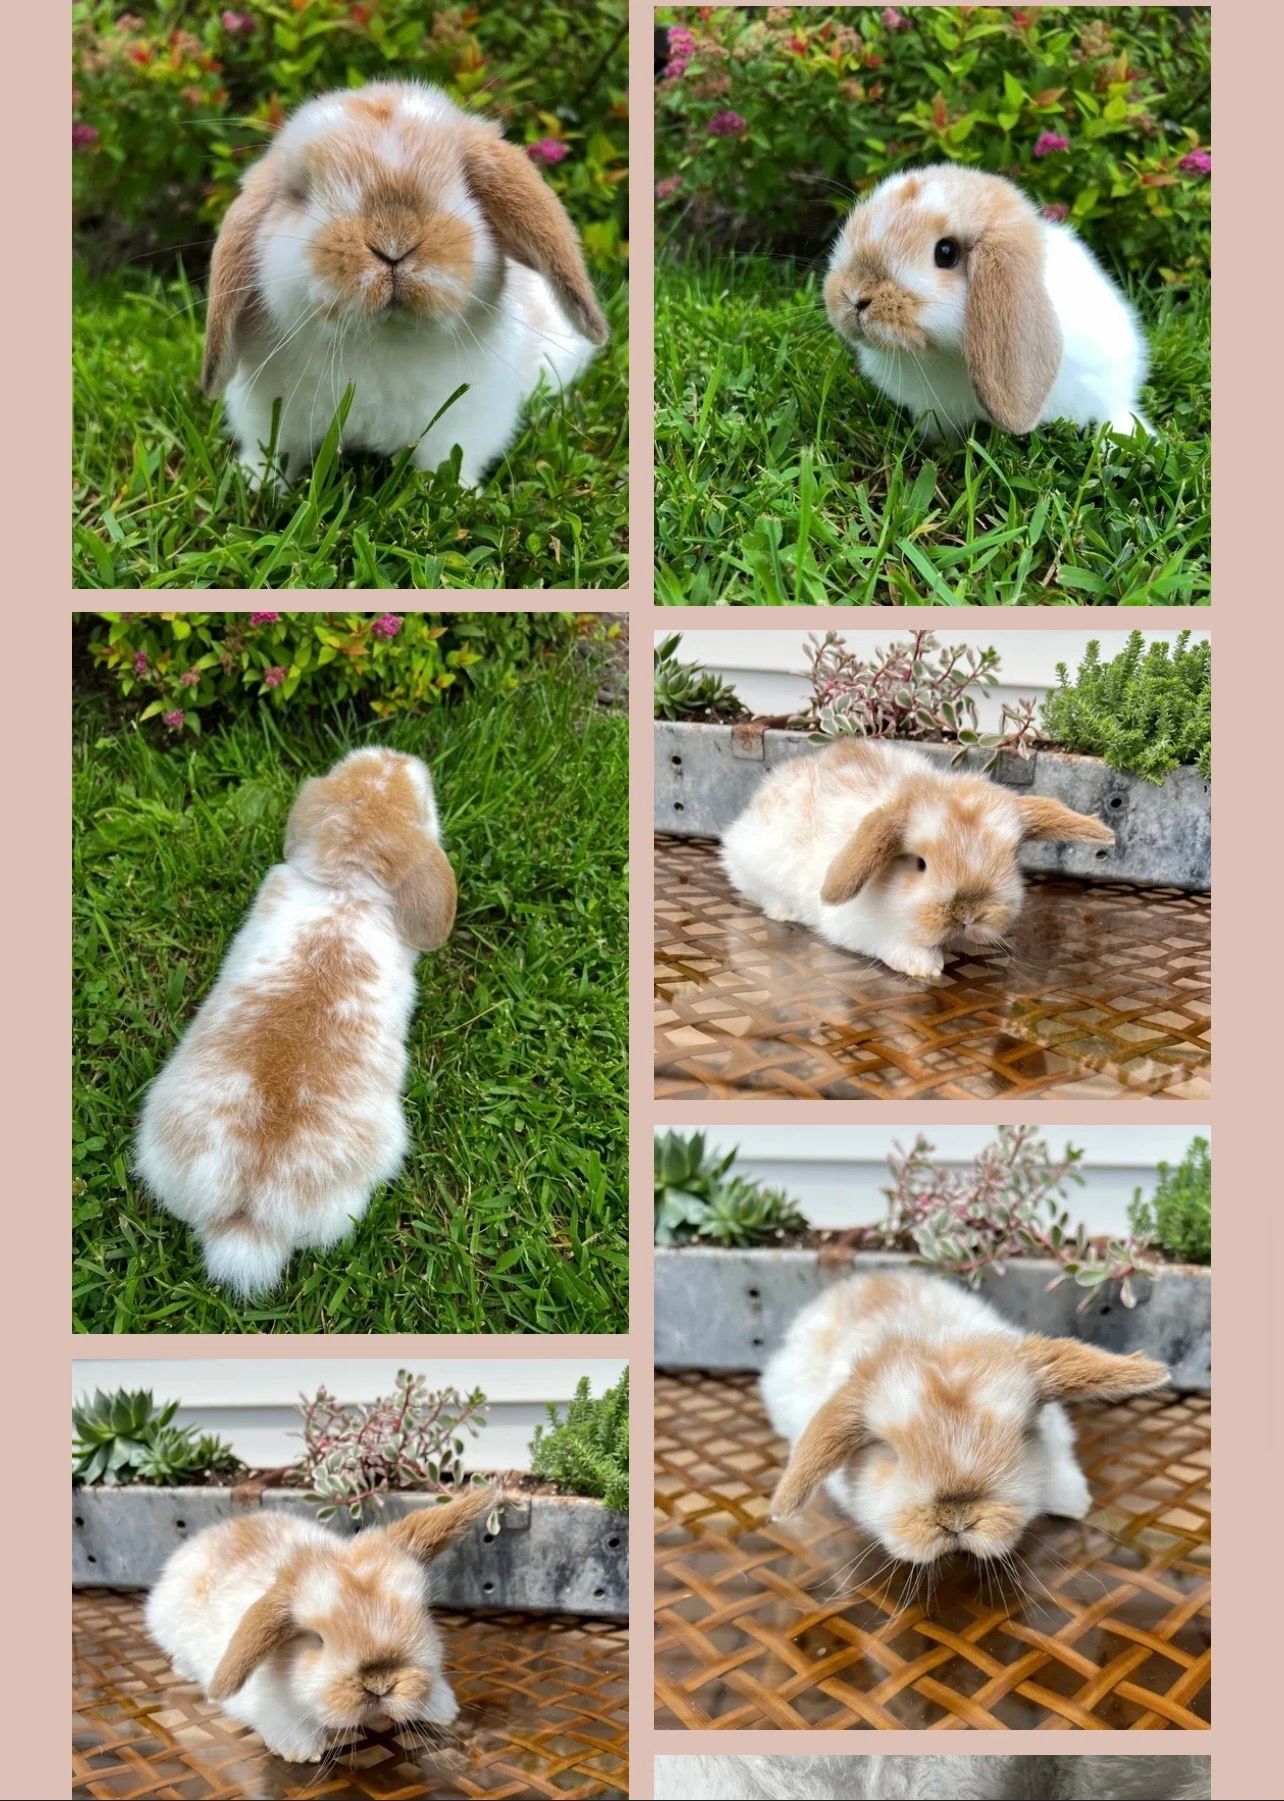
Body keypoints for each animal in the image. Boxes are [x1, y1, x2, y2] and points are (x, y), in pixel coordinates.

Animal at [202, 80, 609, 487]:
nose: (393, 243)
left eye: (464, 182)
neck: (384, 341)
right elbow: (273, 453)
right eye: (300, 193)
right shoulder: (269, 413)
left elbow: (449, 463)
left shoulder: (465, 423)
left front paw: (457, 491)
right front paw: (254, 482)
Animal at [719, 738, 1114, 982]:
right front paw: (924, 965)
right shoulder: (853, 925)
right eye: (919, 864)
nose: (967, 913)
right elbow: (889, 942)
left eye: (1012, 857)